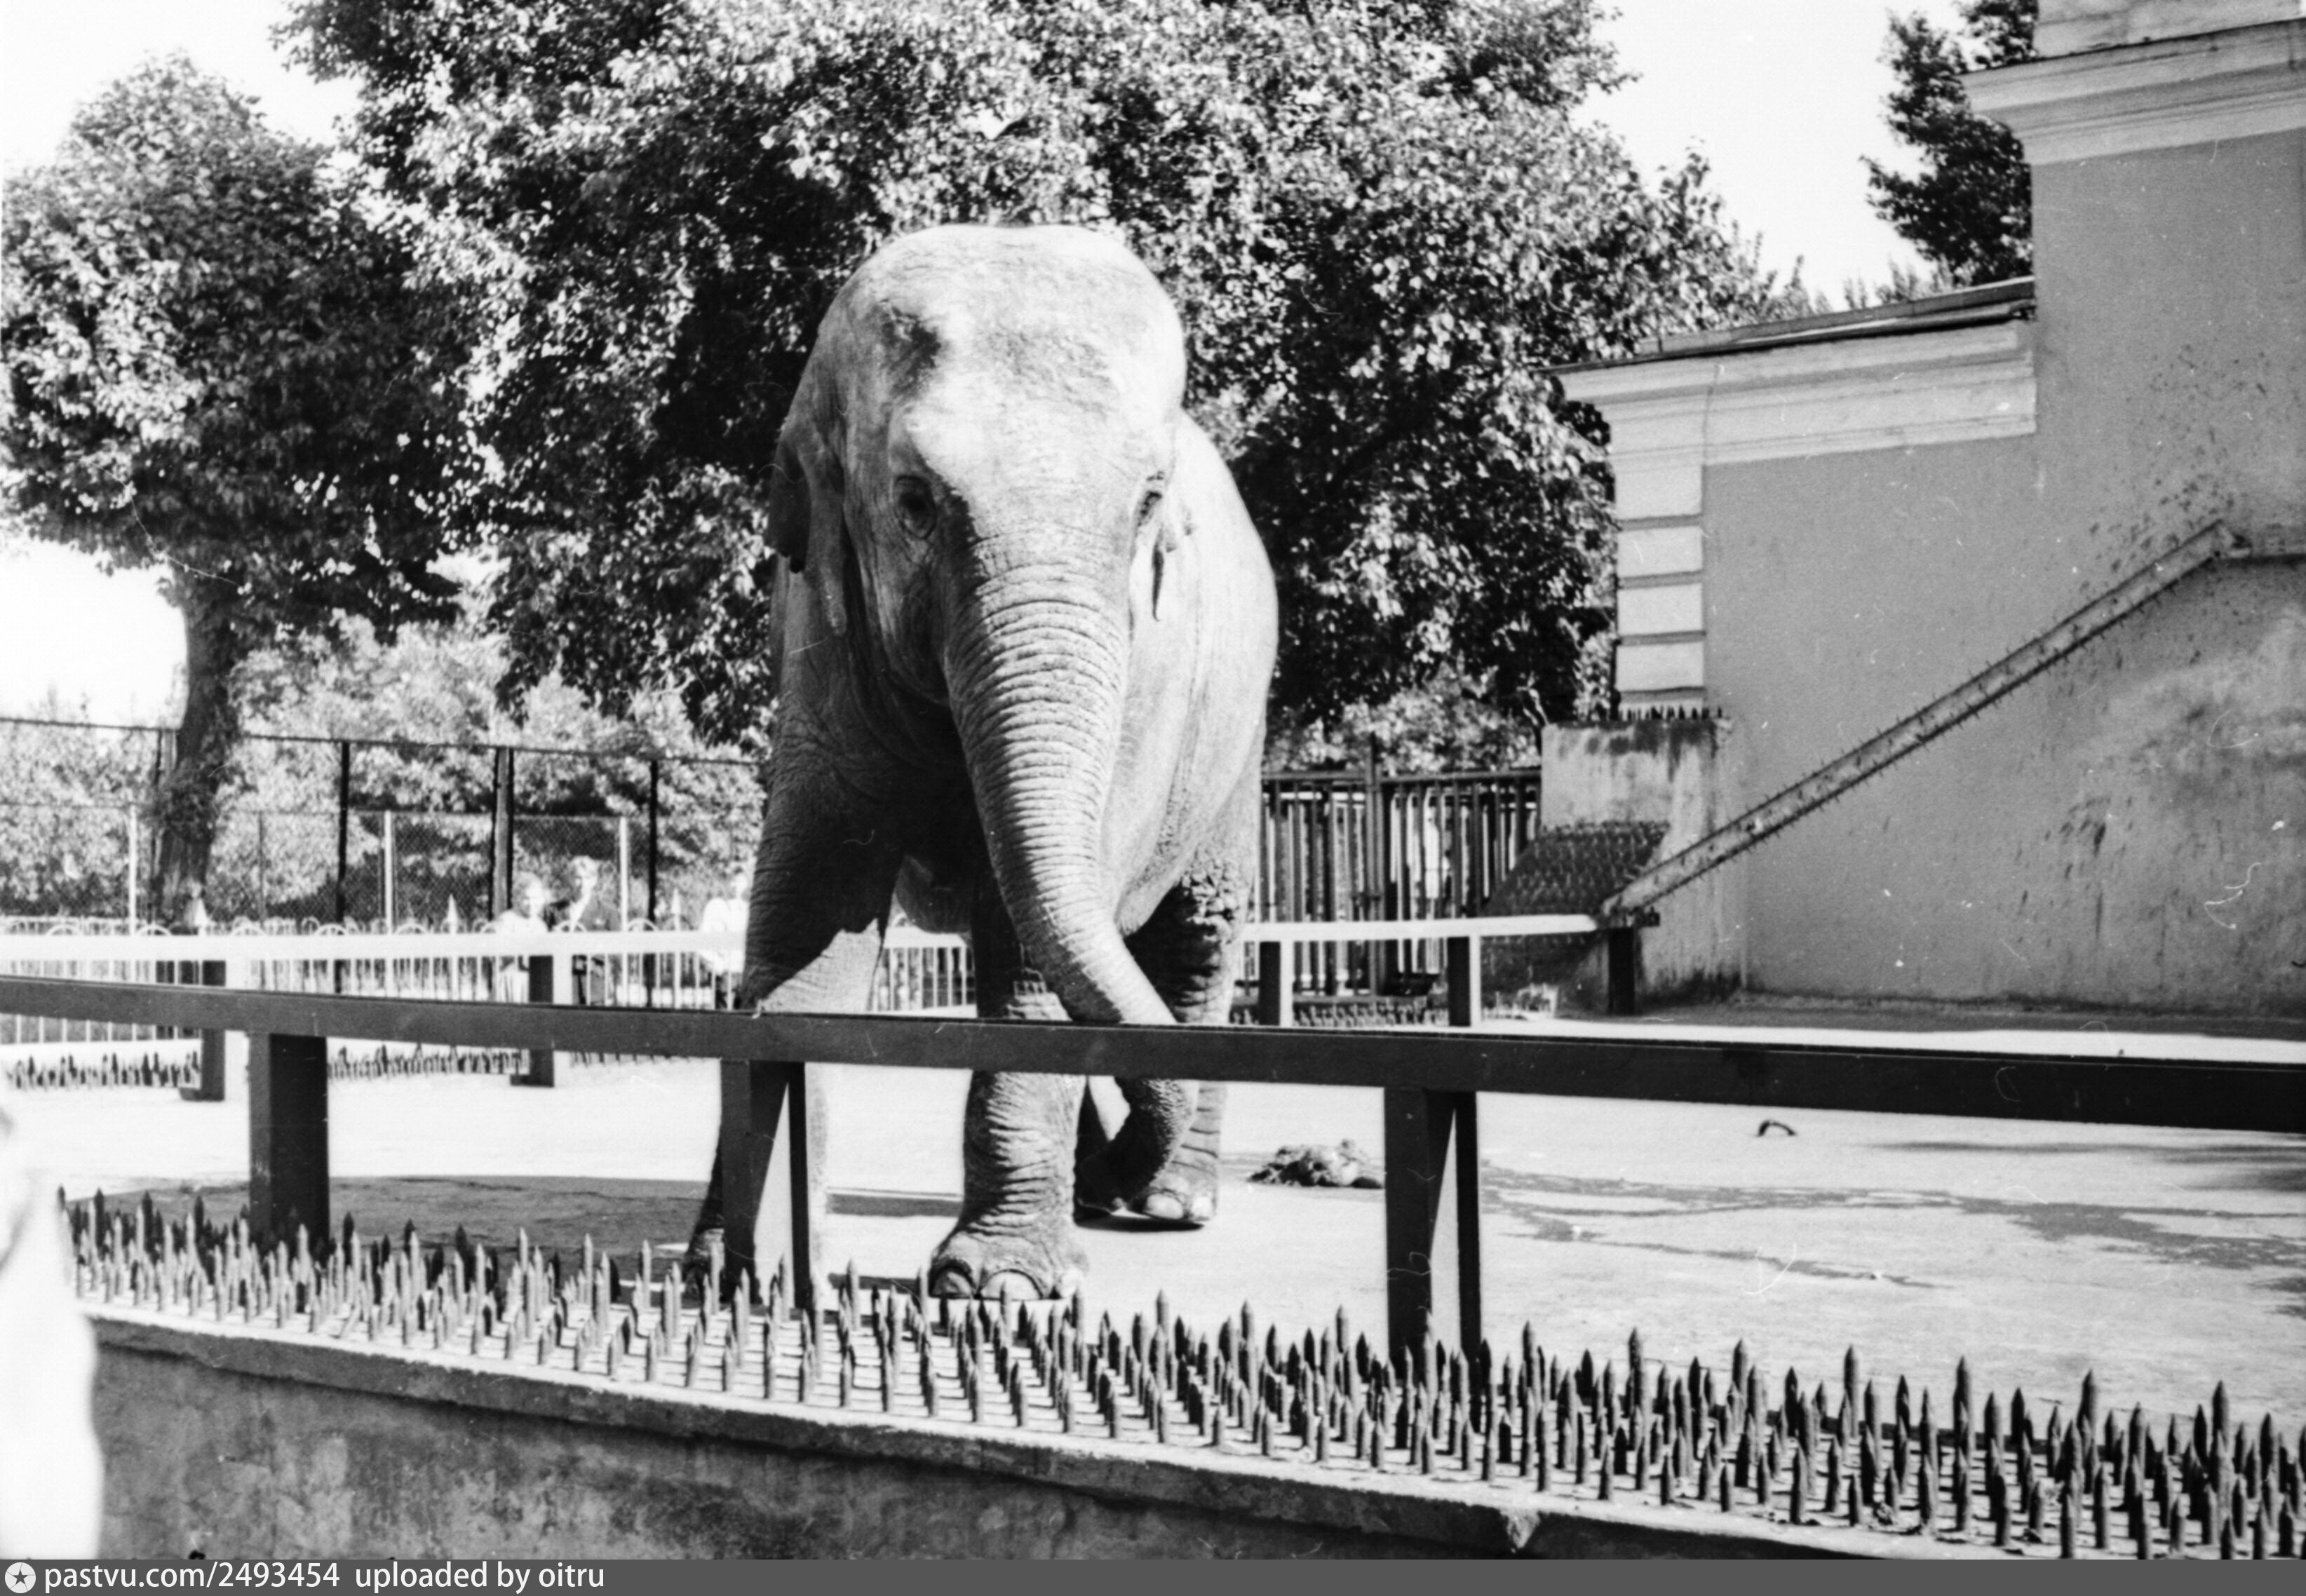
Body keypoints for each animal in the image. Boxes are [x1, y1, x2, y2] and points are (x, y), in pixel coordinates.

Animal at [689, 223, 1279, 1302]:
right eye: (915, 501)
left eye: (1148, 502)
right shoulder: (820, 640)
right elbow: (803, 937)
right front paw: (734, 1268)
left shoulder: (1145, 680)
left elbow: (1032, 948)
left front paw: (998, 1285)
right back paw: (1103, 1189)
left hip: (1237, 731)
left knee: (1195, 935)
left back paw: (1168, 1201)